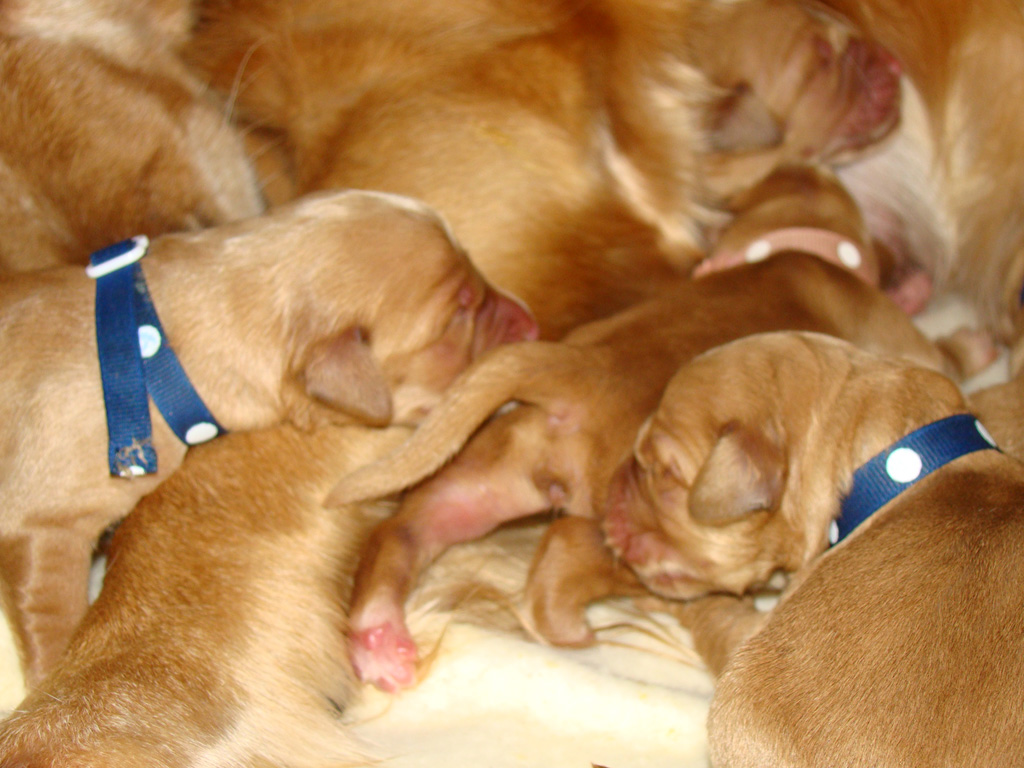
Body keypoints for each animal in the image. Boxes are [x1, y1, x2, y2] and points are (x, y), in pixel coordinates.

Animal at [0, 191, 540, 684]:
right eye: (460, 311)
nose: (533, 325)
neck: (149, 348)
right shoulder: (40, 527)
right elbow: (52, 614)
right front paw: (55, 673)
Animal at [325, 249, 958, 696]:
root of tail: (581, 365)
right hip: (643, 551)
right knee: (566, 551)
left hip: (488, 472)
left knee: (402, 530)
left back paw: (378, 638)